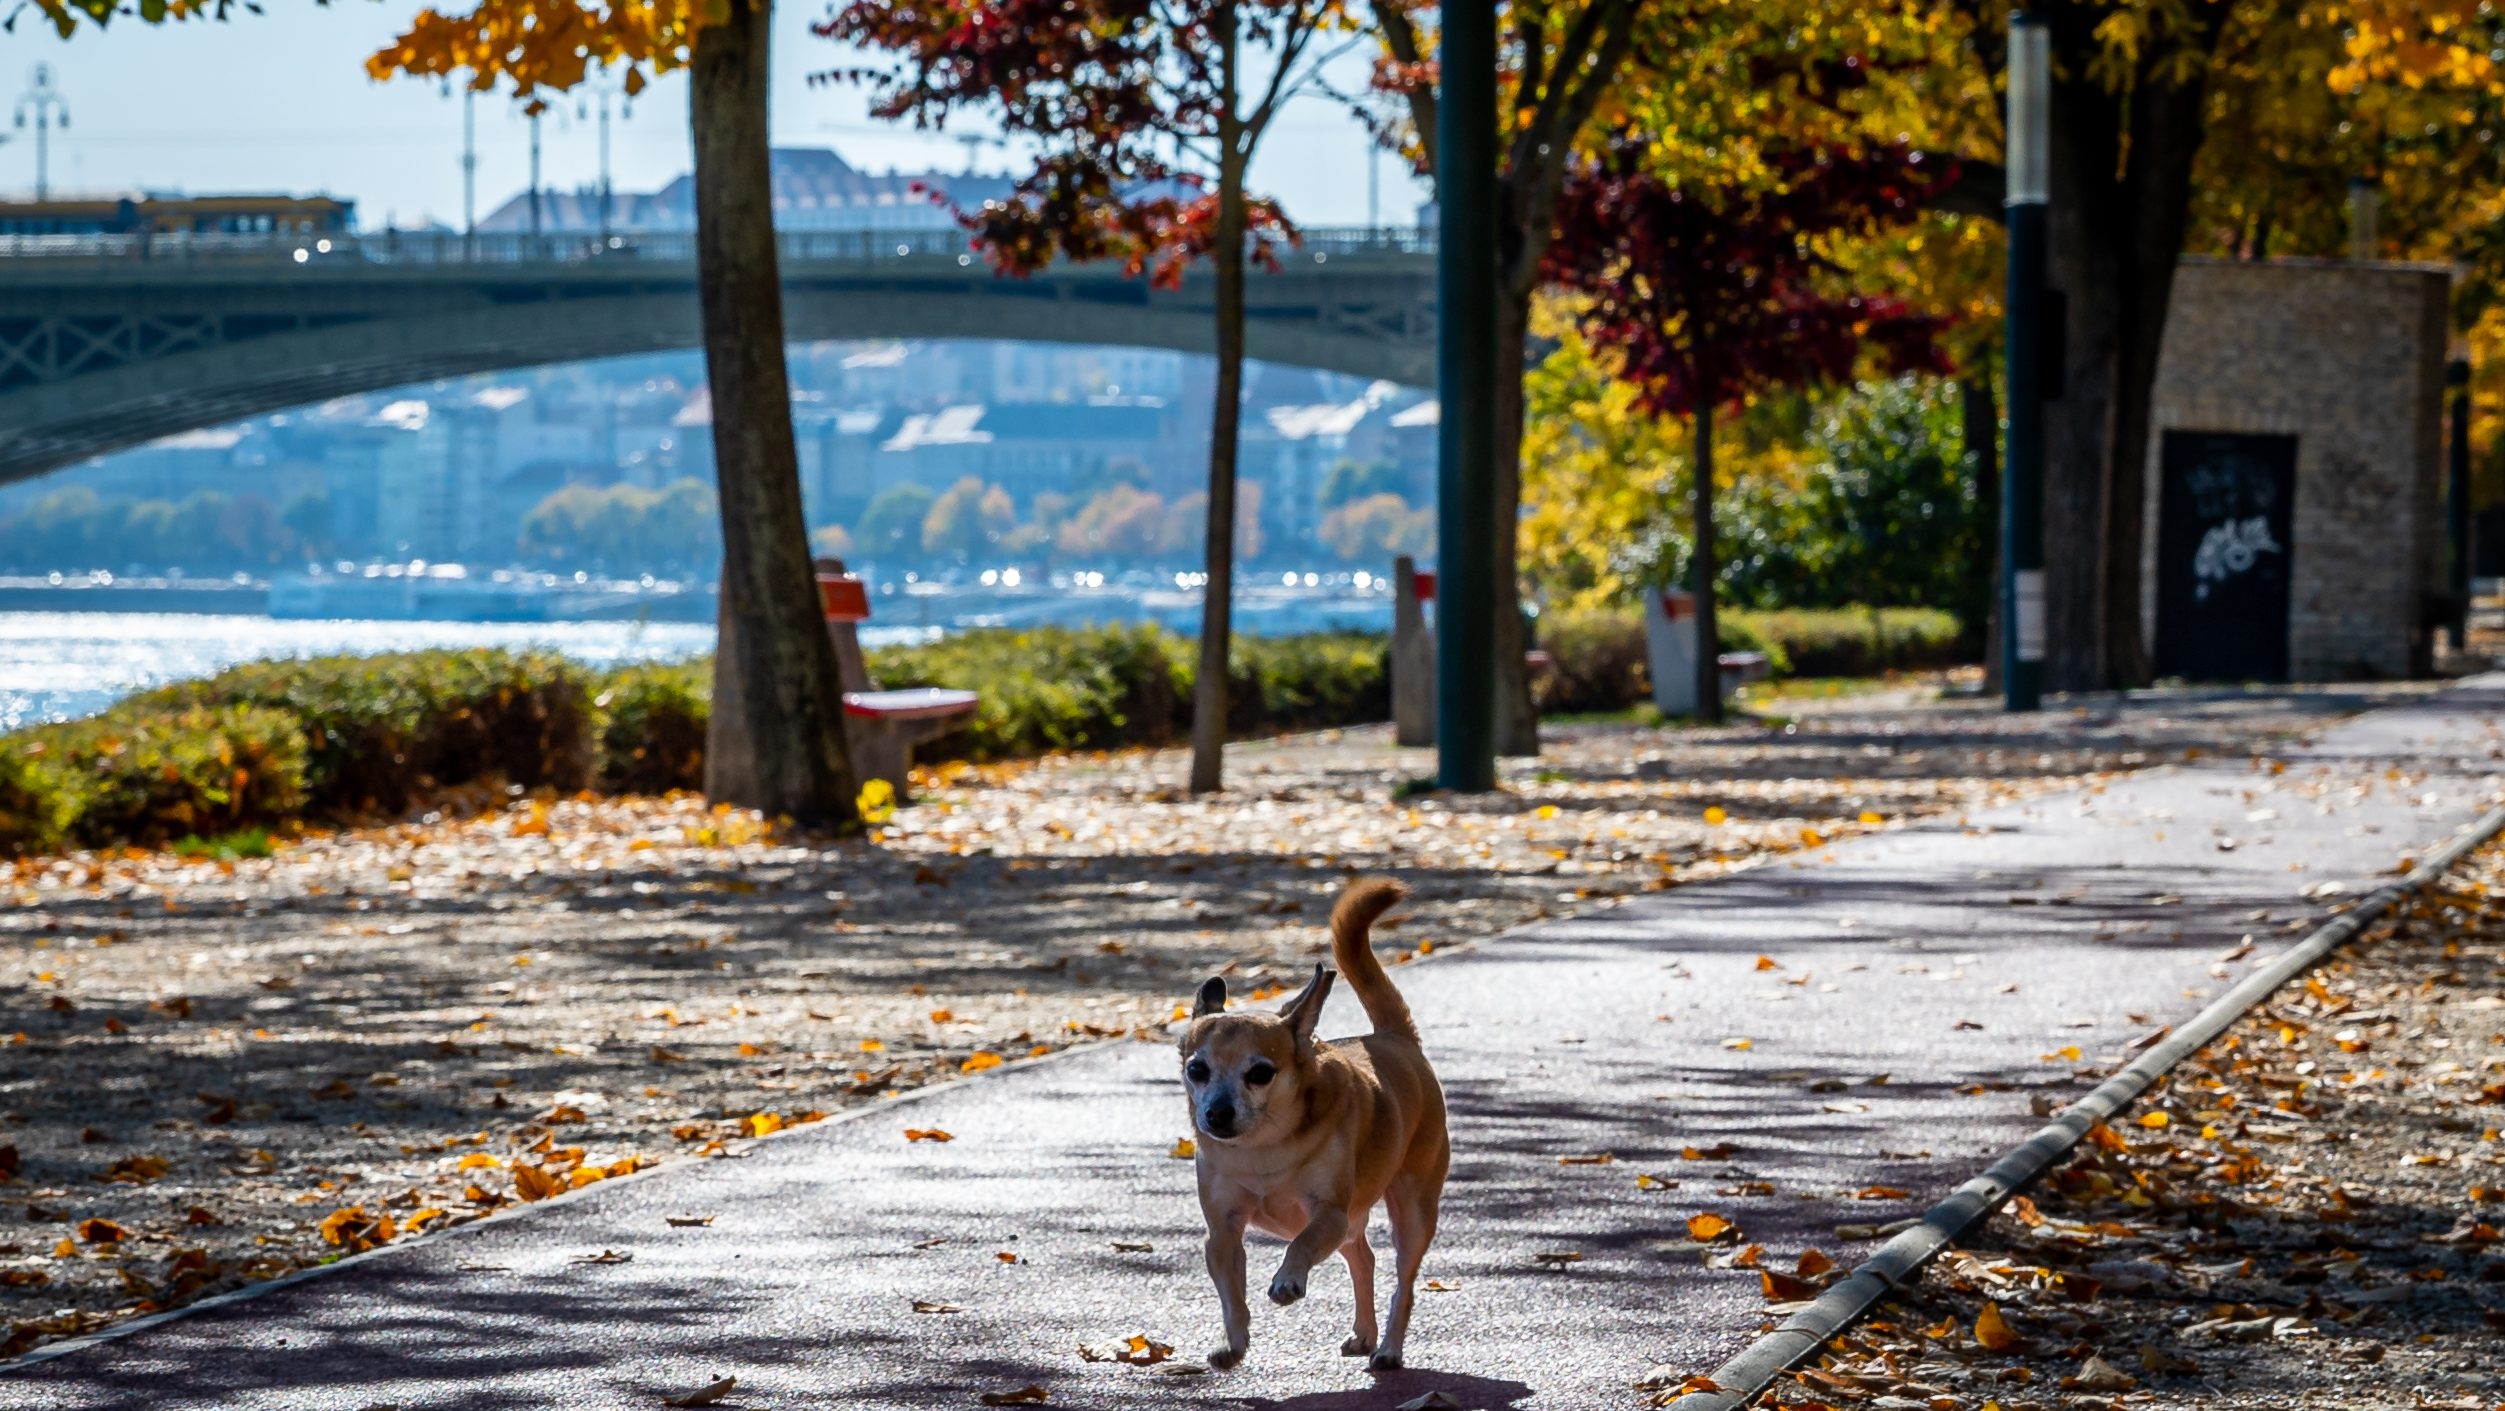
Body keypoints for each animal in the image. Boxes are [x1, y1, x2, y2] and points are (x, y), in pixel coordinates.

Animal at [1172, 877, 1452, 1373]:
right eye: (1197, 1070)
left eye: (1260, 1073)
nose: (1217, 1113)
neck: (1264, 1148)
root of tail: (1393, 1037)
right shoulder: (1222, 1232)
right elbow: (1231, 1295)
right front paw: (1233, 1342)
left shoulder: (1328, 1214)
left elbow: (1300, 1243)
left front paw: (1288, 1280)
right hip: (1356, 1226)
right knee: (1363, 1258)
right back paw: (1364, 1334)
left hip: (1413, 1211)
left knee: (1403, 1282)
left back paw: (1389, 1348)